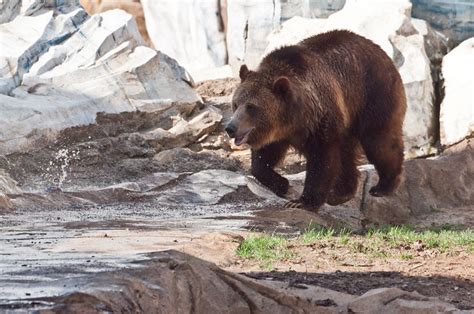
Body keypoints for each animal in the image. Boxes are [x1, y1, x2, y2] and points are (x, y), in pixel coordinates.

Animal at [226, 30, 408, 211]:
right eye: (235, 103)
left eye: (251, 106)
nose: (230, 128)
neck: (292, 119)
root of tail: (383, 54)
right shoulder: (277, 133)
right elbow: (262, 160)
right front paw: (282, 184)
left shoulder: (320, 119)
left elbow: (322, 159)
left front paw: (302, 201)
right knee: (348, 151)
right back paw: (340, 194)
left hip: (373, 94)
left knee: (379, 141)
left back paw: (384, 185)